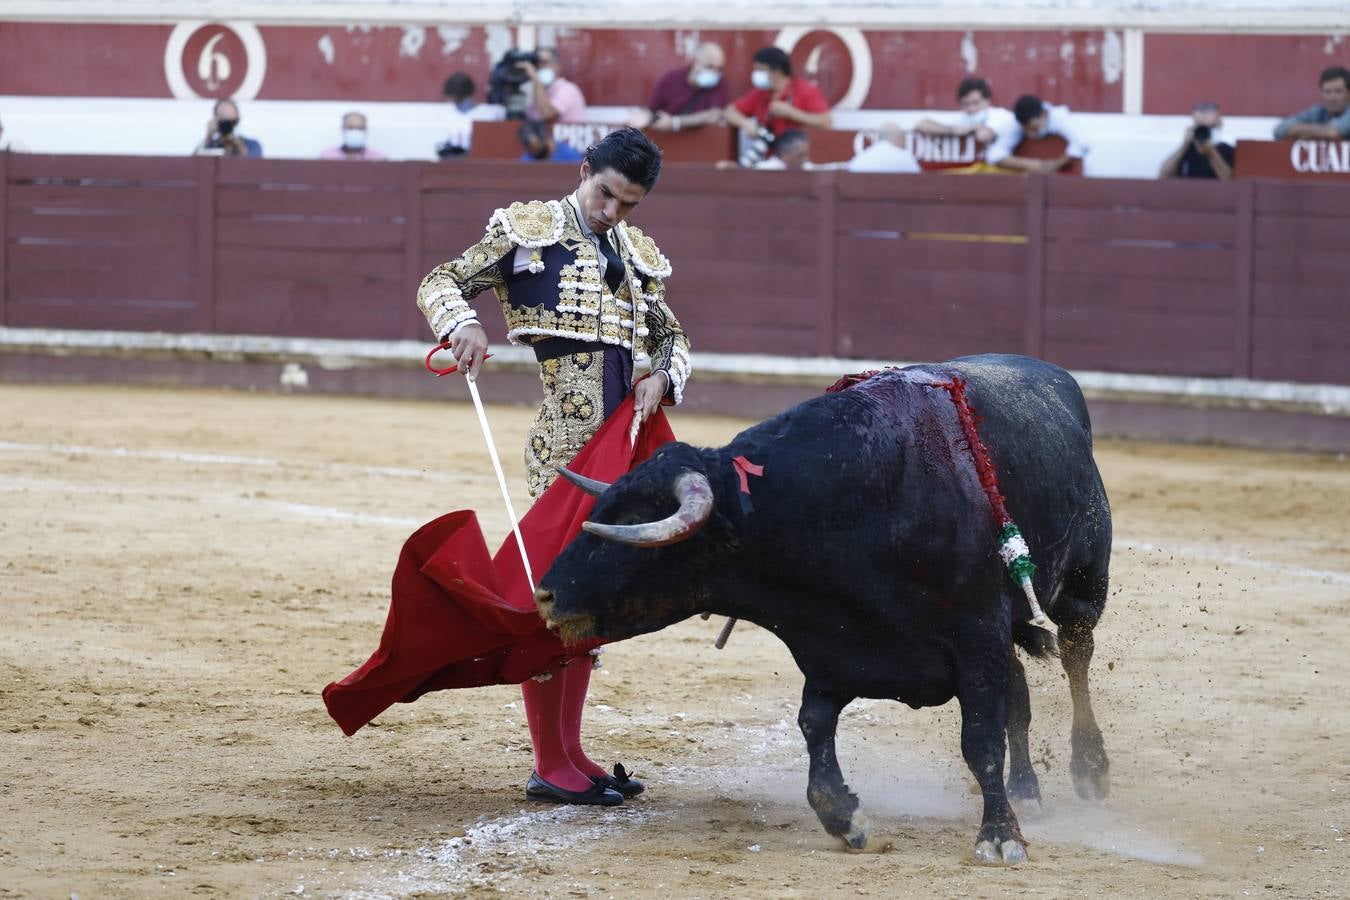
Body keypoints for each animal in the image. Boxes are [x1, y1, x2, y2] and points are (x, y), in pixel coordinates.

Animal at [531, 353, 1112, 863]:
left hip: (1082, 587)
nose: (544, 594)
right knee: (1021, 694)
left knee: (1075, 658)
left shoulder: (976, 637)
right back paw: (1027, 789)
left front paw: (999, 836)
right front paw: (845, 818)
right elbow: (813, 725)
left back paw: (1090, 770)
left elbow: (981, 741)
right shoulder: (834, 647)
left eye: (630, 528)